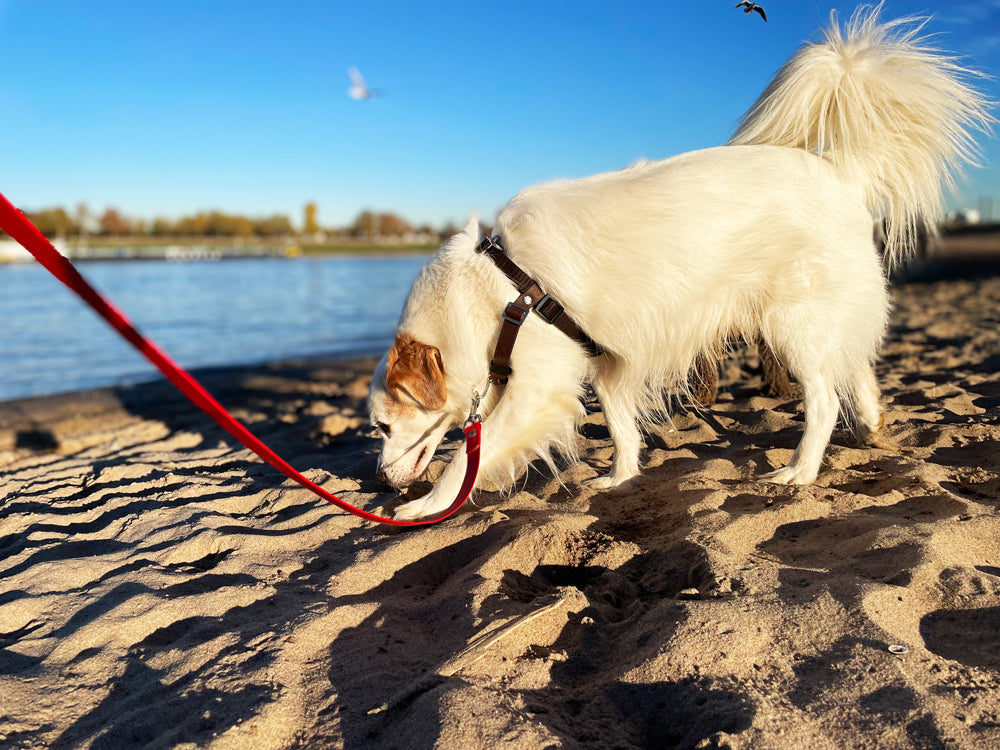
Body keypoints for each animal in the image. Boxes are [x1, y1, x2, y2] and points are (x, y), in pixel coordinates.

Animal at [368, 7, 992, 524]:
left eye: (381, 425)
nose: (381, 481)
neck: (496, 292)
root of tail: (842, 173)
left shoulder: (537, 389)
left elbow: (461, 461)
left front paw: (425, 506)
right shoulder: (608, 362)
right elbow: (620, 427)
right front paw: (620, 477)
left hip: (791, 325)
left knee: (824, 398)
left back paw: (801, 470)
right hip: (826, 316)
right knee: (856, 366)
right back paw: (870, 427)